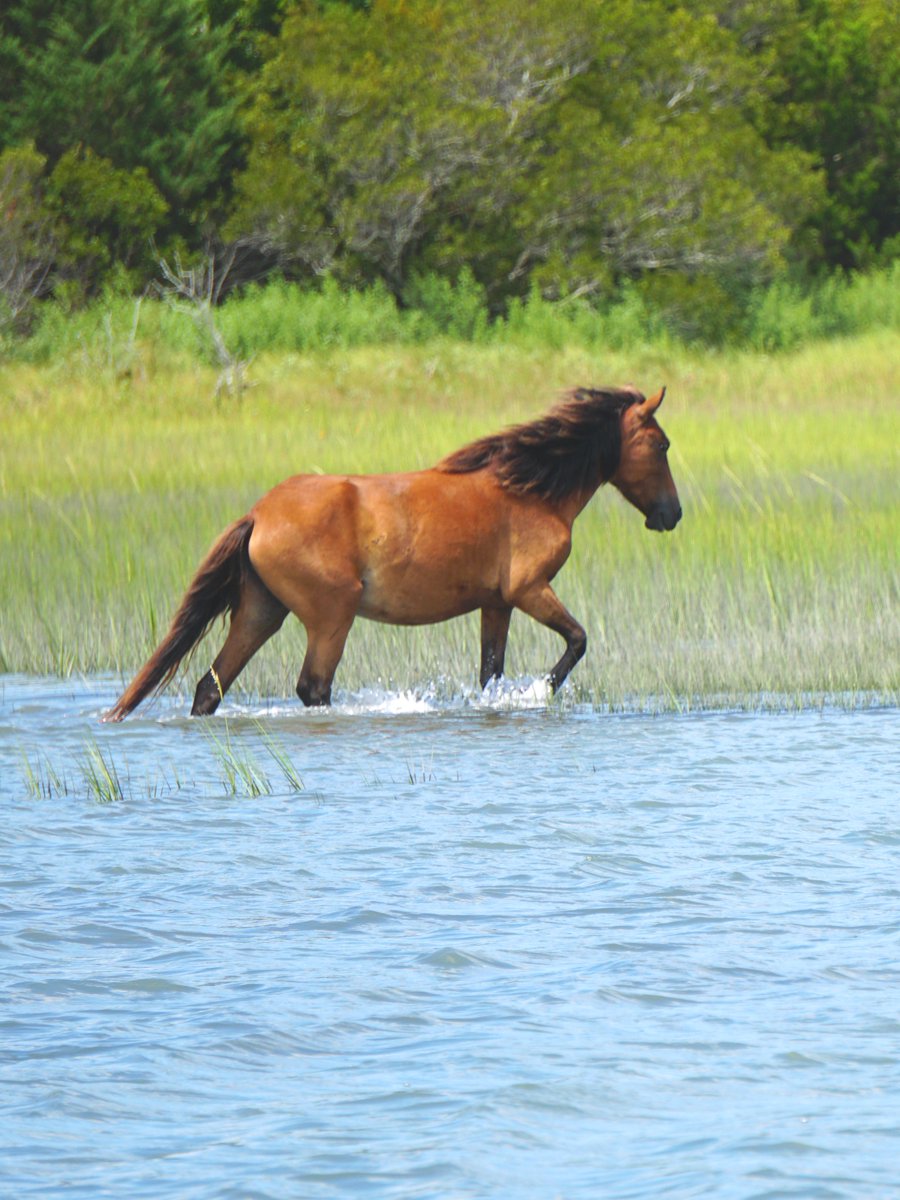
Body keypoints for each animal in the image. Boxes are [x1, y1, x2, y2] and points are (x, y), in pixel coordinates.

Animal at [105, 384, 681, 721]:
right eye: (662, 445)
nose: (671, 514)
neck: (533, 490)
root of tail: (259, 514)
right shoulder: (529, 589)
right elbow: (578, 641)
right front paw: (541, 690)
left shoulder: (496, 603)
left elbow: (489, 674)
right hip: (330, 616)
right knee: (313, 687)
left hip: (262, 612)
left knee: (210, 686)